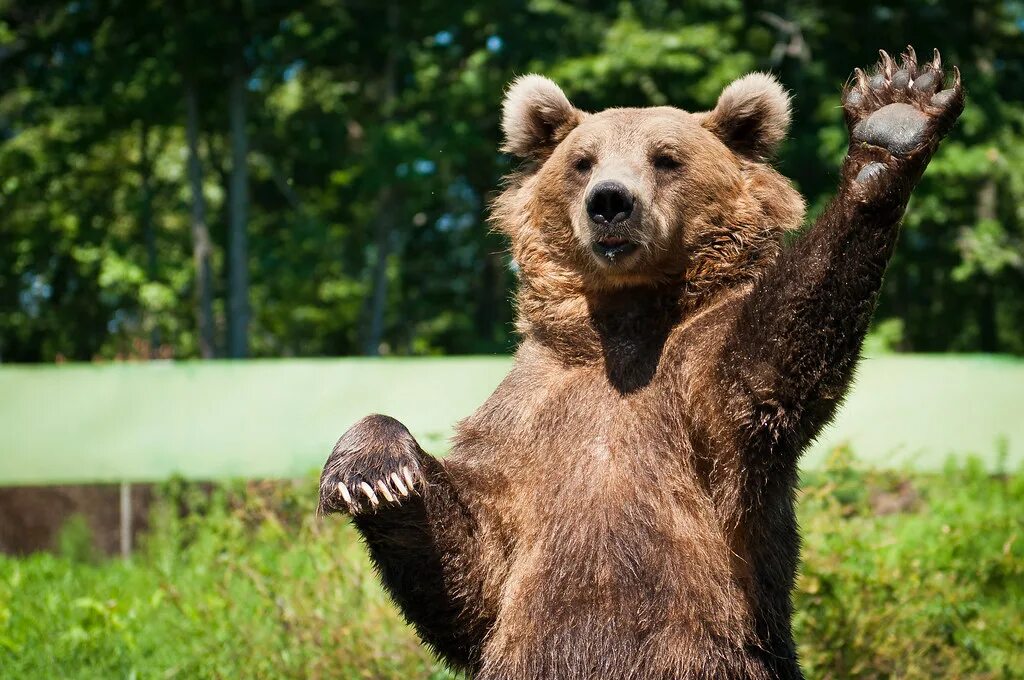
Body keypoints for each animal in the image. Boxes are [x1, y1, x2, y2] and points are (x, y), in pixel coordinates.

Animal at [319, 46, 963, 680]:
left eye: (666, 158)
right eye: (582, 161)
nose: (610, 201)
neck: (623, 330)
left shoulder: (702, 389)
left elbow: (770, 366)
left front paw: (893, 118)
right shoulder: (527, 415)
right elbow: (476, 570)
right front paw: (373, 470)